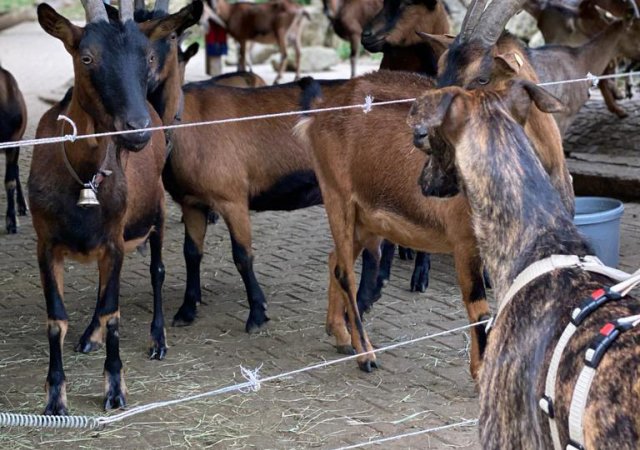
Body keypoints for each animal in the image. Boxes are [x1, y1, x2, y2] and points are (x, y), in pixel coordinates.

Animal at [29, 0, 198, 414]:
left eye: (147, 57)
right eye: (87, 57)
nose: (137, 129)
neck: (82, 180)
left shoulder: (115, 241)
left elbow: (113, 311)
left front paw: (115, 389)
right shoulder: (46, 244)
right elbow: (56, 319)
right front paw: (55, 397)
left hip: (156, 214)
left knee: (156, 271)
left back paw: (158, 340)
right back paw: (91, 336)